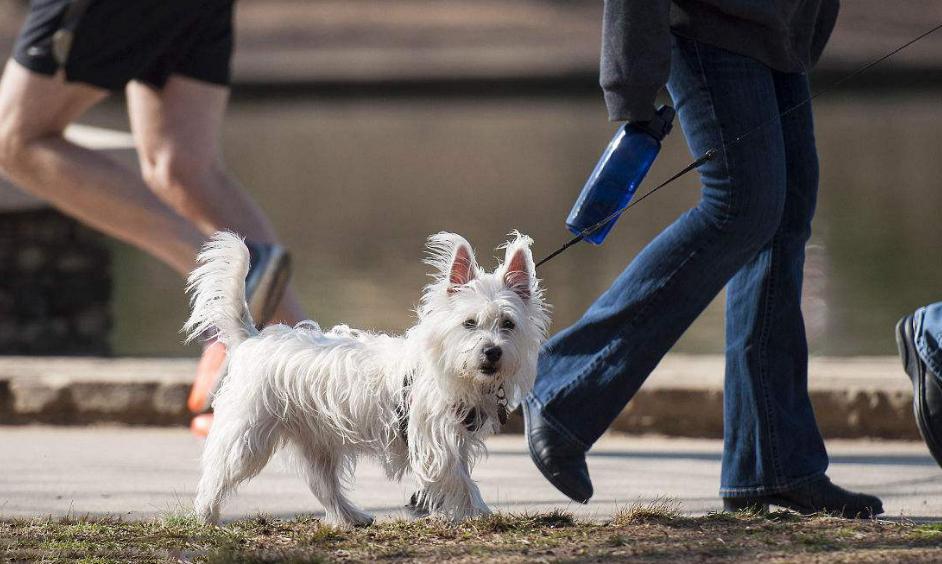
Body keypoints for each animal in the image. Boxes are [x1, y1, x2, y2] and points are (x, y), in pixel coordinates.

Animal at [187, 228, 548, 524]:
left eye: (508, 324)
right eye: (469, 323)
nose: (492, 352)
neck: (452, 372)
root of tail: (252, 339)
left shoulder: (453, 442)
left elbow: (455, 479)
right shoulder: (436, 445)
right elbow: (460, 481)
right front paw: (481, 514)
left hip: (317, 443)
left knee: (323, 485)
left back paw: (351, 516)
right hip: (247, 436)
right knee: (218, 472)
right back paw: (206, 514)